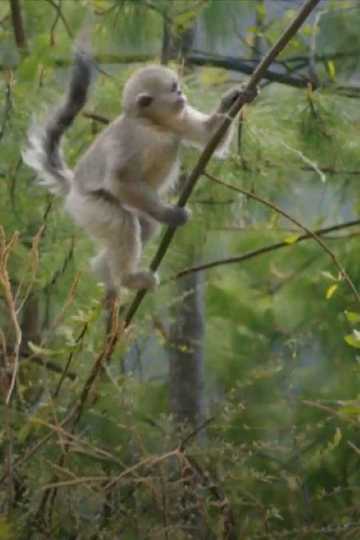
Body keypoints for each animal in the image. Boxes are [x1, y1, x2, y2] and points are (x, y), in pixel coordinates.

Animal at [23, 48, 256, 296]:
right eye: (173, 89)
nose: (181, 94)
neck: (151, 124)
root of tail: (74, 183)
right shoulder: (134, 138)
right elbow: (119, 179)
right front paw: (169, 214)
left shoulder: (175, 120)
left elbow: (209, 134)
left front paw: (236, 97)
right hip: (88, 205)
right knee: (124, 223)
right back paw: (128, 278)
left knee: (146, 225)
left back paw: (106, 271)